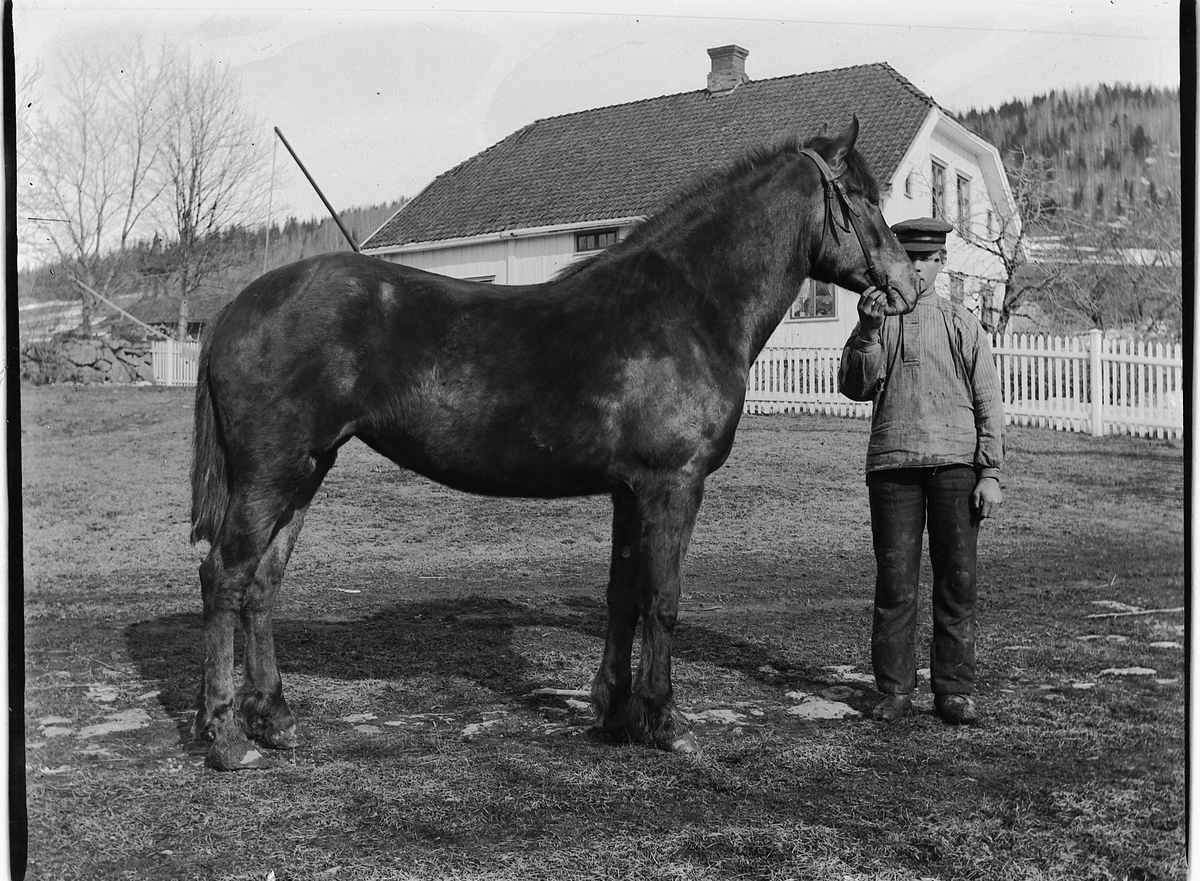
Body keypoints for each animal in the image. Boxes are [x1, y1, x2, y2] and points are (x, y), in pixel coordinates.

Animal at [189, 118, 916, 772]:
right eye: (863, 199)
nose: (908, 285)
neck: (685, 308)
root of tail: (236, 308)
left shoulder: (630, 491)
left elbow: (624, 594)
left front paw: (615, 715)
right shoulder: (673, 484)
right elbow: (664, 599)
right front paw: (666, 723)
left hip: (306, 472)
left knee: (262, 584)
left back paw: (276, 721)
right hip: (271, 476)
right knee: (225, 577)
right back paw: (227, 739)